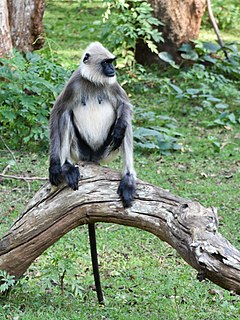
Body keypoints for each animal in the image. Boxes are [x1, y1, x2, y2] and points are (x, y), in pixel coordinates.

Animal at [48, 42, 137, 208]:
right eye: (106, 63)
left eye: (111, 62)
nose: (113, 69)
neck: (93, 81)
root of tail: (92, 157)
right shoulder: (73, 83)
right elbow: (56, 114)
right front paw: (54, 166)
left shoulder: (112, 83)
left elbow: (125, 106)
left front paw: (119, 128)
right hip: (79, 151)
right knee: (65, 116)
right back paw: (67, 167)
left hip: (106, 151)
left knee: (125, 124)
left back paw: (128, 179)